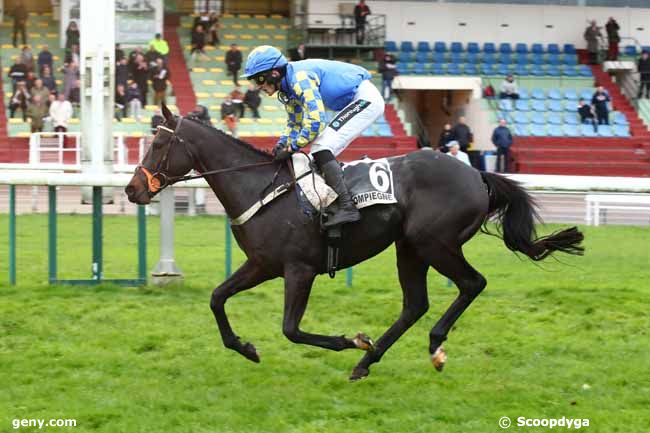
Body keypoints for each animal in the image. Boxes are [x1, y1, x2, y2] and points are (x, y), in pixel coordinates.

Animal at [124, 105, 580, 378]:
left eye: (159, 143)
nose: (132, 190)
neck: (261, 187)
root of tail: (476, 173)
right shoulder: (261, 264)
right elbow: (218, 297)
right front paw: (245, 347)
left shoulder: (299, 269)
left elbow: (291, 329)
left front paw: (349, 340)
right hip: (409, 247)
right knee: (415, 304)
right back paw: (367, 360)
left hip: (434, 242)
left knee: (471, 283)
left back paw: (430, 345)